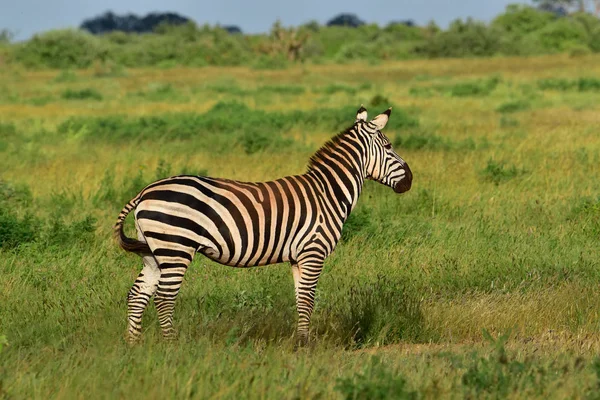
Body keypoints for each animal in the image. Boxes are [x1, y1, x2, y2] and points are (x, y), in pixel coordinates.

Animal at [113, 104, 412, 346]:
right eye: (389, 147)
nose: (410, 180)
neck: (327, 192)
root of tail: (144, 192)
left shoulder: (298, 257)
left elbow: (300, 299)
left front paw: (300, 341)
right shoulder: (313, 252)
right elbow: (308, 299)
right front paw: (305, 346)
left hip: (153, 252)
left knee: (137, 295)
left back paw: (133, 344)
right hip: (176, 248)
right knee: (164, 298)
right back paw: (171, 344)